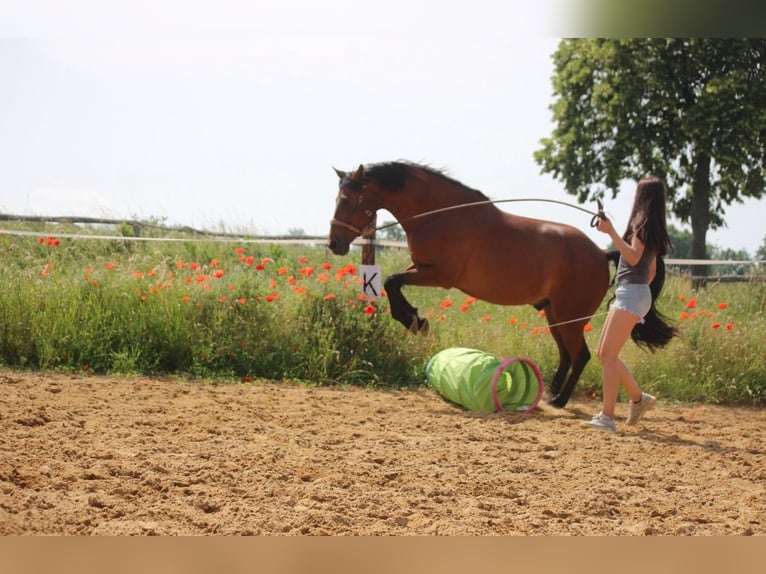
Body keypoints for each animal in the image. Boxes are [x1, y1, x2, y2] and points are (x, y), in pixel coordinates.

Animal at [328, 160, 672, 408]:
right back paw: (551, 393)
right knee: (566, 353)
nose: (334, 244)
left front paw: (414, 320)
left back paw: (560, 401)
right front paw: (413, 318)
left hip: (571, 316)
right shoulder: (422, 268)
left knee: (581, 355)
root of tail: (601, 254)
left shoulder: (440, 276)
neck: (439, 215)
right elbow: (393, 282)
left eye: (346, 200)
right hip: (554, 314)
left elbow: (391, 281)